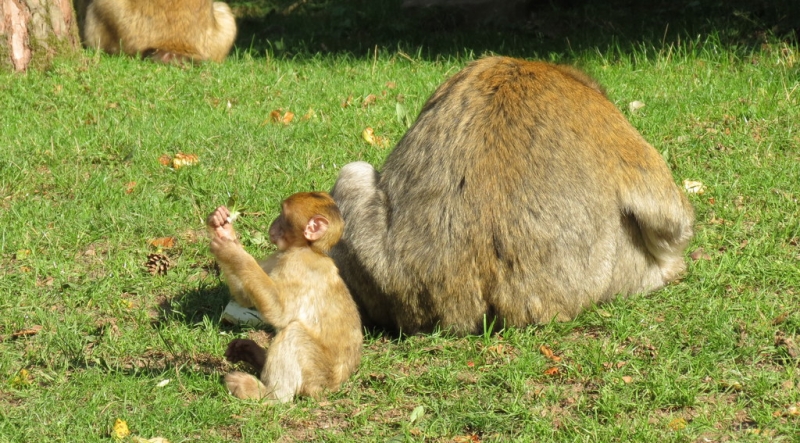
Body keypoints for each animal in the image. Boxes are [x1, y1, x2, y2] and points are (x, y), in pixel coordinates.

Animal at [209, 193, 366, 404]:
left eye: (283, 215)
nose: (273, 224)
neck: (308, 247)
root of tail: (335, 387)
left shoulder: (297, 264)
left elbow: (279, 312)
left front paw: (231, 250)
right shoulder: (279, 255)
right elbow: (245, 297)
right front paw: (223, 228)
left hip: (317, 375)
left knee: (294, 333)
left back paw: (269, 394)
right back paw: (254, 355)